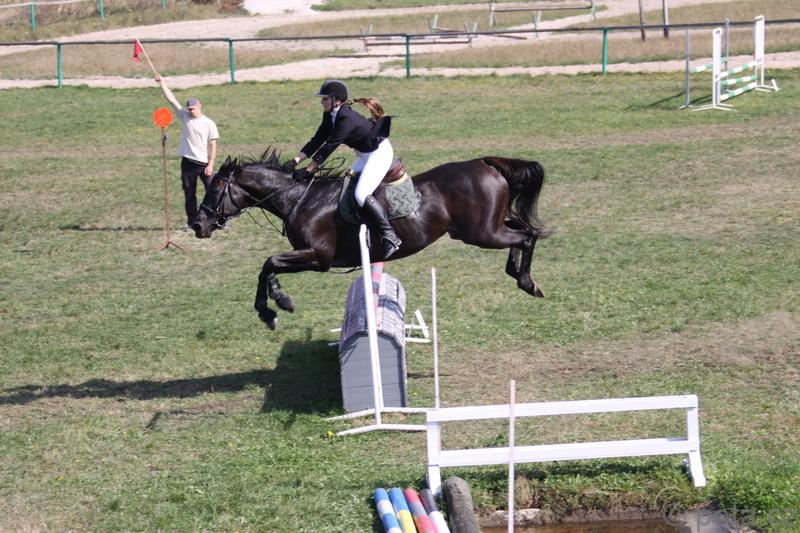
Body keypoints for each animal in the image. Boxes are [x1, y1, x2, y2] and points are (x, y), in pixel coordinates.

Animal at [193, 150, 552, 330]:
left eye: (214, 190)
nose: (197, 225)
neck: (300, 199)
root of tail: (484, 163)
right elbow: (266, 268)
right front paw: (270, 309)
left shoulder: (318, 257)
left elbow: (269, 263)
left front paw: (276, 305)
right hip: (483, 228)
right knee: (521, 231)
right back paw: (517, 275)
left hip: (483, 233)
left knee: (526, 235)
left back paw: (527, 282)